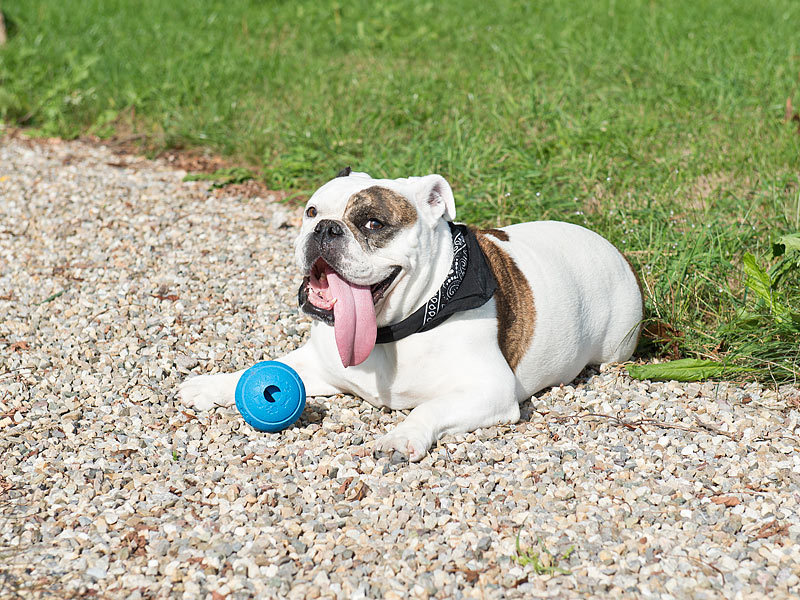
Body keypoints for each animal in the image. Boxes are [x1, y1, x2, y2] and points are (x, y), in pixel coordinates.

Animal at [177, 171, 644, 462]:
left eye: (372, 223)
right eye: (311, 212)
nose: (325, 228)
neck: (392, 331)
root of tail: (610, 246)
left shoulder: (489, 391)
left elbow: (430, 408)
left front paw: (401, 436)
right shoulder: (317, 367)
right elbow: (260, 369)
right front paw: (210, 385)